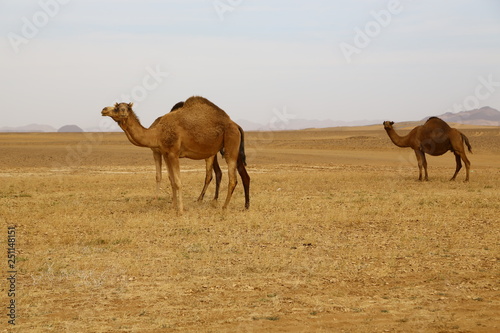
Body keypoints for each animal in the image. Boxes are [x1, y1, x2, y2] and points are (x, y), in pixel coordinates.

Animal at [101, 94, 250, 211]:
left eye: (118, 108)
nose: (103, 109)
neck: (157, 133)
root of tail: (236, 125)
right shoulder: (166, 154)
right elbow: (171, 180)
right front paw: (173, 206)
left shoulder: (173, 153)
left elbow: (178, 182)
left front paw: (181, 210)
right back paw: (241, 205)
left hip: (231, 144)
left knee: (232, 178)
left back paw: (224, 207)